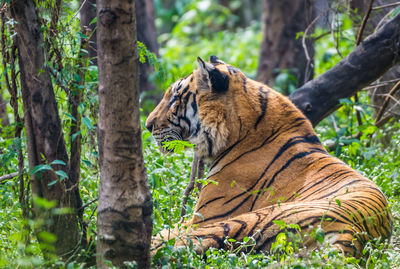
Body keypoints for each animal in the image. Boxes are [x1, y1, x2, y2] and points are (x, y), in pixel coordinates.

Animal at [145, 56, 392, 255]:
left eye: (175, 98)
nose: (147, 125)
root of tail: (353, 234)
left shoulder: (206, 216)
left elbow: (170, 231)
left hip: (251, 219)